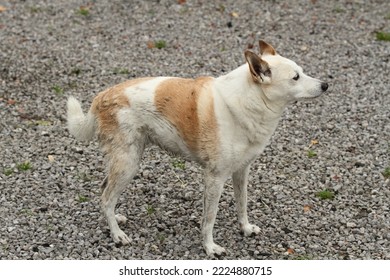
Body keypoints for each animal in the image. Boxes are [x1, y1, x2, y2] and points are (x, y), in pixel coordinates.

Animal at [66, 40, 326, 258]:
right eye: (295, 77)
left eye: (302, 72)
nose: (325, 84)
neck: (250, 100)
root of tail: (102, 97)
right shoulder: (214, 177)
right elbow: (209, 218)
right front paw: (210, 247)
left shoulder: (241, 171)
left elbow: (242, 204)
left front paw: (245, 228)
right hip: (128, 164)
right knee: (106, 198)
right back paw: (117, 235)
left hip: (124, 161)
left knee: (104, 190)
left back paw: (116, 219)